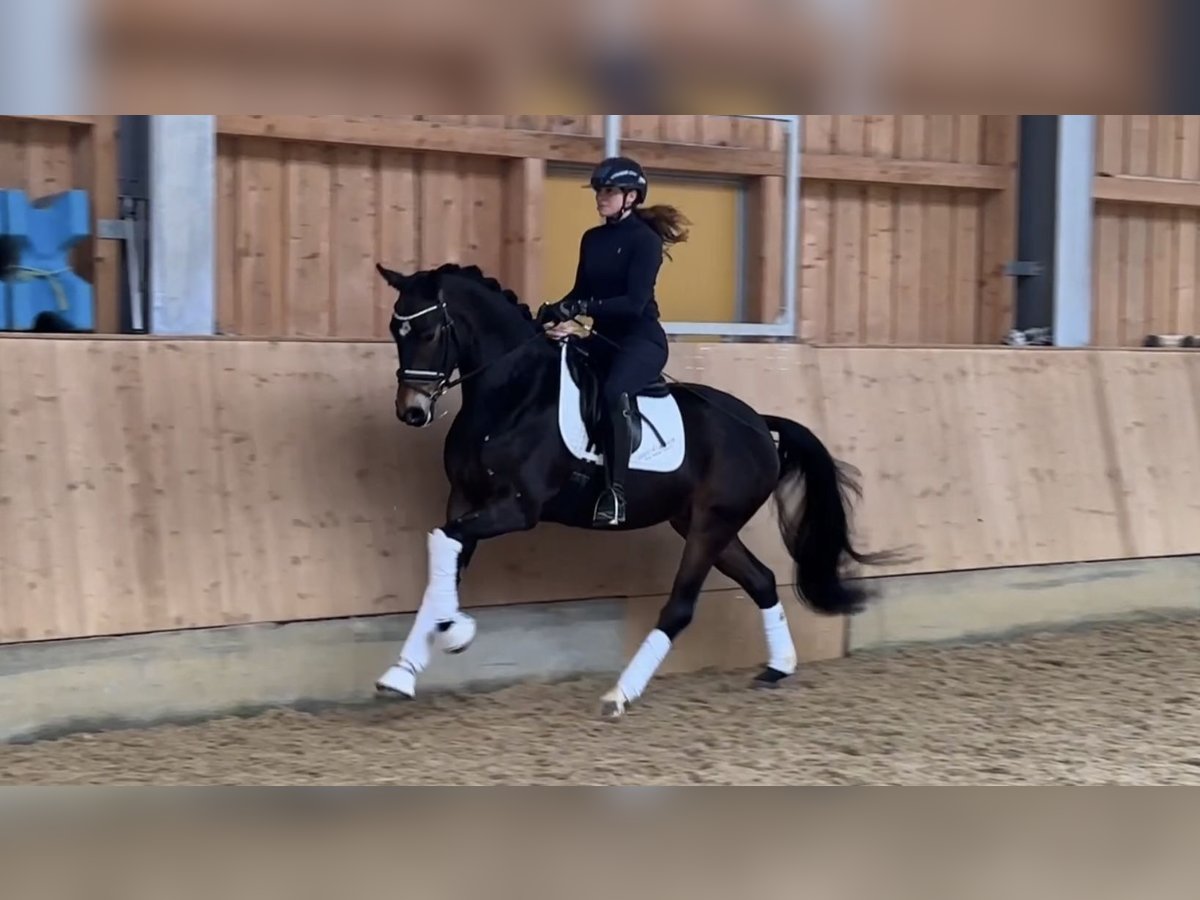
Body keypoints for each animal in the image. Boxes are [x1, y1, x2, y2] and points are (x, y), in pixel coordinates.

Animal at [374, 260, 902, 720]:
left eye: (428, 333)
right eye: (394, 332)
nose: (412, 411)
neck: (514, 395)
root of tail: (756, 423)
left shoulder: (516, 508)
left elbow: (445, 543)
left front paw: (456, 631)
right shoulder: (464, 499)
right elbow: (443, 561)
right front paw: (405, 670)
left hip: (710, 526)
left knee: (681, 607)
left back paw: (619, 694)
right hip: (704, 523)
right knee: (762, 581)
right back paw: (779, 667)